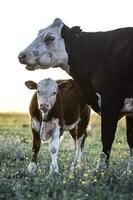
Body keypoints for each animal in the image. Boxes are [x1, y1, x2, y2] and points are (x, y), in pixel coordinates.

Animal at [18, 18, 133, 171]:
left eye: (50, 38)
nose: (21, 55)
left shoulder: (110, 103)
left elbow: (107, 137)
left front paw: (100, 170)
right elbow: (131, 139)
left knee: (81, 138)